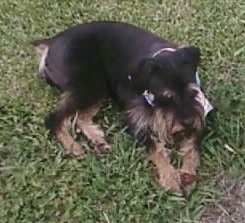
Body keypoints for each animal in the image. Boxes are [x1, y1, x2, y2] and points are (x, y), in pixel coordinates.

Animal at [33, 20, 212, 193]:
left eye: (193, 92)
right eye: (166, 97)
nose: (187, 122)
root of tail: (50, 43)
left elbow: (192, 147)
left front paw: (187, 173)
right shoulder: (135, 121)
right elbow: (156, 149)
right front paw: (170, 178)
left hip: (98, 88)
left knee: (80, 116)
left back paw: (98, 140)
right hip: (88, 86)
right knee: (54, 118)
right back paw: (73, 146)